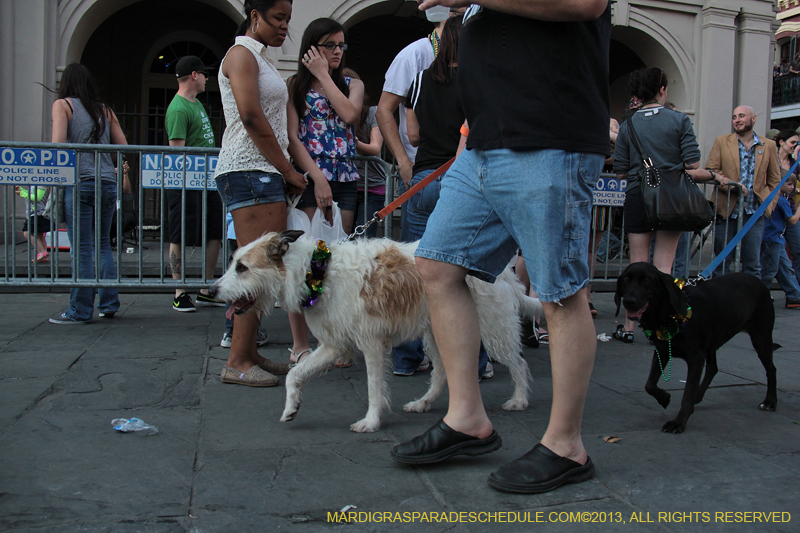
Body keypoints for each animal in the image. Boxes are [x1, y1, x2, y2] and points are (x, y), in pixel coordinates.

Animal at [212, 230, 540, 432]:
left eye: (242, 267)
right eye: (233, 263)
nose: (212, 290)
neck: (316, 272)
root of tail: (504, 271)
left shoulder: (371, 344)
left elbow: (373, 388)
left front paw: (371, 422)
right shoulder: (333, 345)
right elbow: (295, 374)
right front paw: (291, 407)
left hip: (493, 329)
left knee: (519, 364)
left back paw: (519, 400)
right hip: (438, 333)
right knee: (443, 373)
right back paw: (423, 403)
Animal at [612, 262, 776, 432]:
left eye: (646, 280)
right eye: (626, 279)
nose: (629, 301)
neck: (669, 314)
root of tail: (758, 280)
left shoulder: (696, 359)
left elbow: (687, 393)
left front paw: (678, 422)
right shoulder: (662, 351)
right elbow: (649, 384)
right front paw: (664, 397)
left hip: (761, 339)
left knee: (771, 369)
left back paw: (770, 402)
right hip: (711, 342)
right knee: (713, 368)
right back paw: (698, 395)